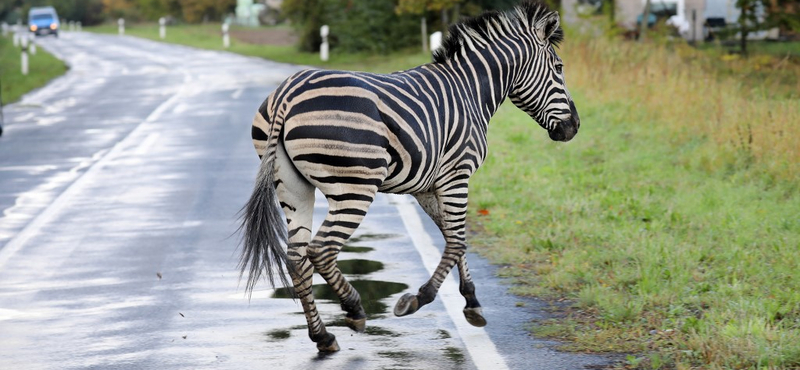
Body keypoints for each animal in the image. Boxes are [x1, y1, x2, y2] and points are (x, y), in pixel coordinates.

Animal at [241, 0, 580, 352]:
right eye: (558, 67)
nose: (574, 127)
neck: (470, 91)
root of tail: (287, 94)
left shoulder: (427, 187)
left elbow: (452, 236)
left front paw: (472, 303)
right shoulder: (457, 175)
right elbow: (457, 241)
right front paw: (419, 299)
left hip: (293, 186)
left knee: (296, 257)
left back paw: (323, 336)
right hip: (354, 187)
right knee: (320, 250)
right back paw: (354, 308)